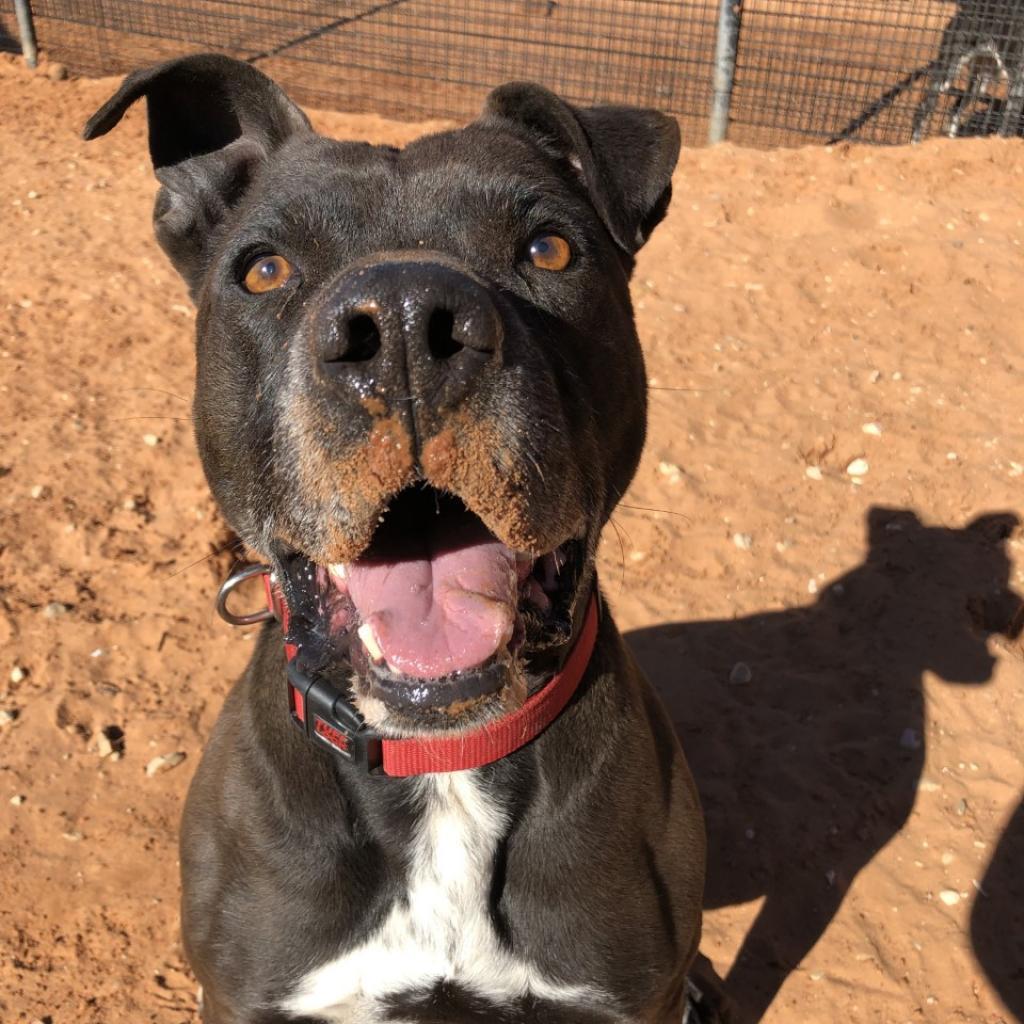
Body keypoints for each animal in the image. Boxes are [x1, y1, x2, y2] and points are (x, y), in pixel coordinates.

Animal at [913, 0, 1024, 142]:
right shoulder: (1018, 84)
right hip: (947, 73)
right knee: (923, 109)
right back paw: (915, 143)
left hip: (979, 82)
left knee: (955, 111)